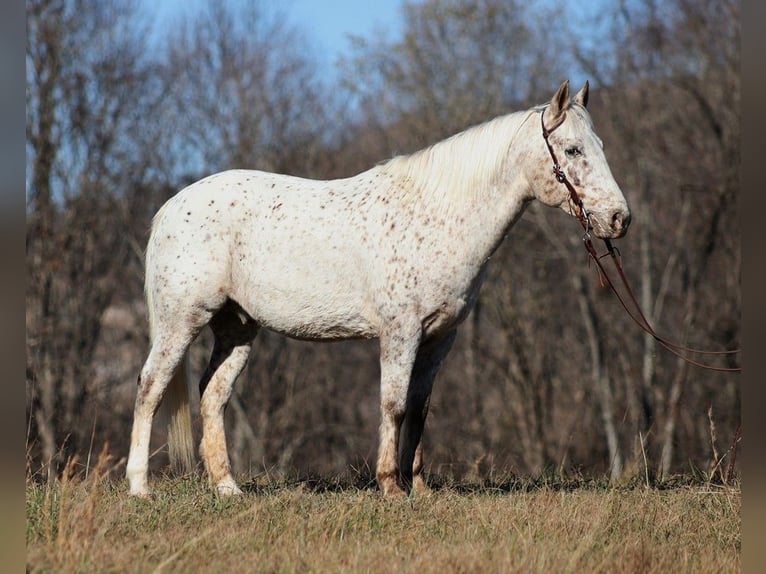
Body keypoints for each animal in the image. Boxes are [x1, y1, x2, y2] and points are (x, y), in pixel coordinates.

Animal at [124, 81, 632, 500]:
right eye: (572, 150)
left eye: (602, 147)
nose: (619, 219)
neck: (437, 216)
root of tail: (171, 207)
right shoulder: (400, 333)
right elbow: (393, 404)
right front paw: (389, 486)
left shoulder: (439, 338)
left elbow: (419, 408)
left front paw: (419, 488)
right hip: (180, 322)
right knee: (150, 387)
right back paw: (140, 488)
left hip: (237, 329)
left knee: (212, 396)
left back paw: (228, 488)